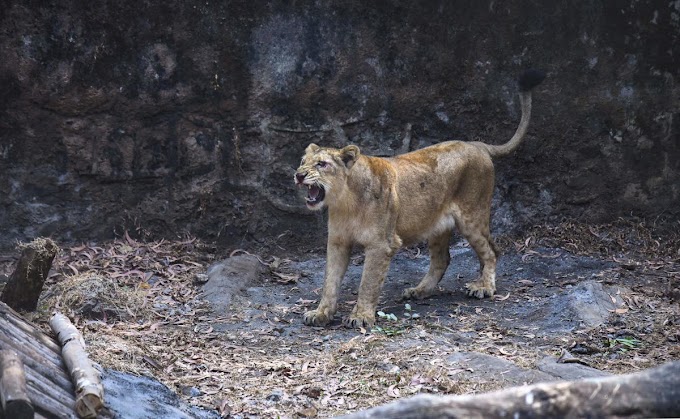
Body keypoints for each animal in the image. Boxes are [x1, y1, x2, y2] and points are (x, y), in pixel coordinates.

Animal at [294, 70, 544, 330]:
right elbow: (329, 282)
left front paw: (361, 316)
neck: (345, 202)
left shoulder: (381, 244)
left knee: (492, 250)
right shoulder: (338, 242)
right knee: (442, 259)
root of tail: (477, 144)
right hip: (437, 225)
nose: (298, 175)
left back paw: (484, 288)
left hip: (472, 216)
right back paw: (419, 291)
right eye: (302, 161)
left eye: (321, 164)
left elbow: (368, 283)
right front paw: (321, 313)